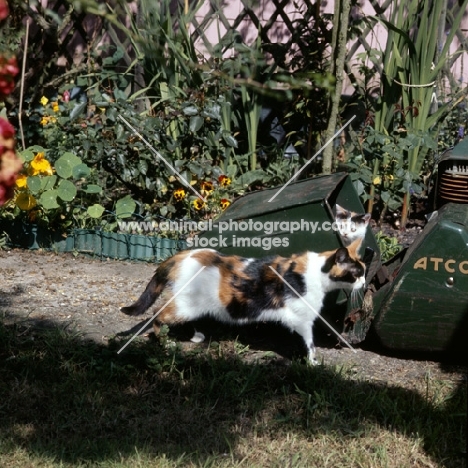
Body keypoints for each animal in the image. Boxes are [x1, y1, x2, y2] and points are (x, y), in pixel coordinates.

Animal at [120, 239, 366, 364]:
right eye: (356, 274)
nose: (364, 283)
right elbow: (311, 343)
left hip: (189, 304)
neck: (316, 274)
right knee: (158, 314)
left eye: (364, 271)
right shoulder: (302, 318)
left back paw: (196, 336)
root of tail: (180, 255)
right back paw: (164, 342)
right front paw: (313, 363)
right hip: (184, 305)